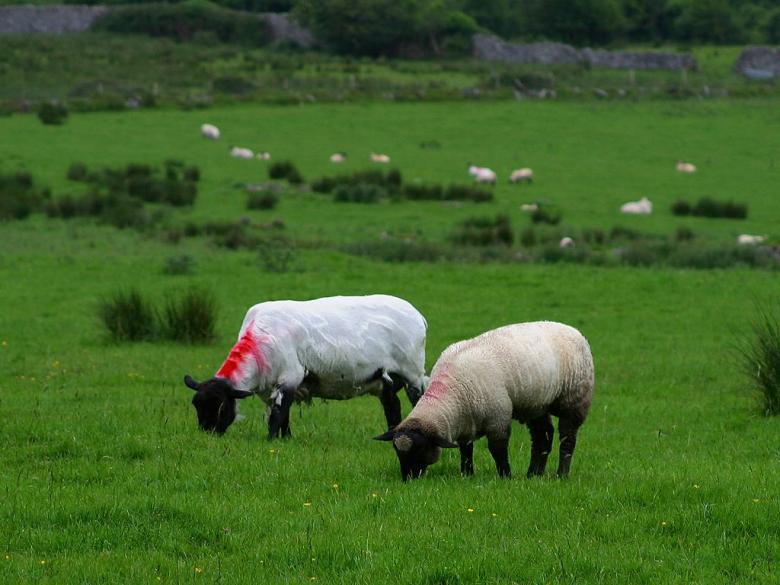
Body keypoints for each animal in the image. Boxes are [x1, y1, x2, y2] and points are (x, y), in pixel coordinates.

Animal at [184, 295, 427, 439]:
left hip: (412, 371)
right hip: (385, 379)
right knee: (392, 406)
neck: (258, 340)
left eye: (221, 406)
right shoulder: (270, 387)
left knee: (417, 399)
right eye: (196, 405)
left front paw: (270, 440)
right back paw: (391, 433)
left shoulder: (289, 377)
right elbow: (282, 415)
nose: (207, 433)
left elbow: (278, 414)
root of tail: (418, 315)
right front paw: (285, 439)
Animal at [375, 321, 594, 481]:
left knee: (567, 438)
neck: (451, 391)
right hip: (536, 404)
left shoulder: (498, 418)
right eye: (396, 450)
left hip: (575, 399)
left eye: (420, 448)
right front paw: (467, 474)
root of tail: (574, 331)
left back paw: (561, 475)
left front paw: (506, 476)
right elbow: (466, 450)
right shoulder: (465, 422)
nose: (408, 479)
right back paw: (533, 475)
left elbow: (498, 449)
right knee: (543, 436)